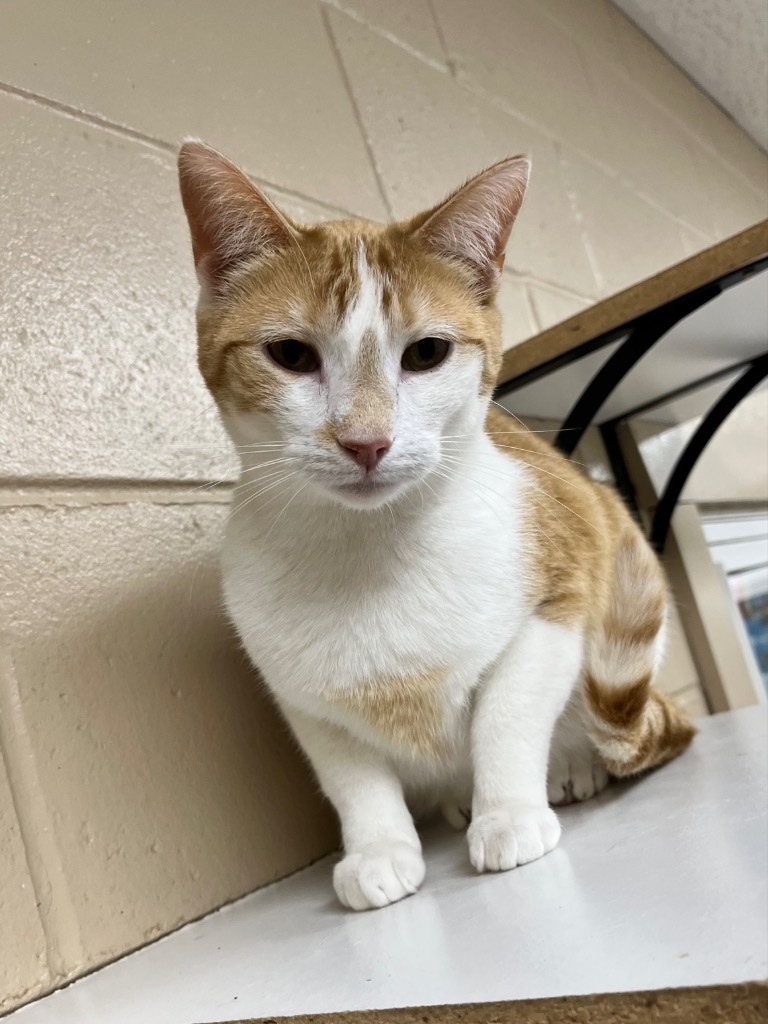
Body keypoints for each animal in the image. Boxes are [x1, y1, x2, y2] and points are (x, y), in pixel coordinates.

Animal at [177, 138, 696, 913]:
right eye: (291, 355)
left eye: (427, 353)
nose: (366, 441)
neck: (369, 550)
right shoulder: (299, 694)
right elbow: (352, 778)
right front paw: (379, 851)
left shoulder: (561, 589)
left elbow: (505, 715)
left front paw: (508, 813)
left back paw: (566, 768)